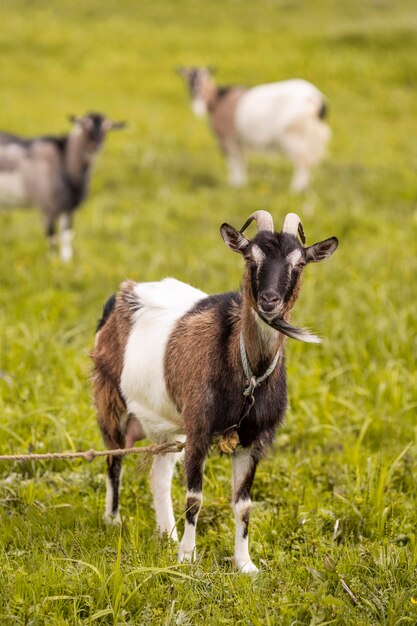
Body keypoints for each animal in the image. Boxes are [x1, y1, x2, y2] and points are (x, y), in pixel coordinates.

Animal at [0, 111, 125, 258]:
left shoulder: (68, 208)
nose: (97, 145)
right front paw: (53, 261)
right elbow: (52, 239)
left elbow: (67, 236)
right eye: (85, 125)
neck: (63, 161)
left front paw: (66, 261)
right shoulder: (47, 206)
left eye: (108, 128)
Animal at [92, 208, 338, 572]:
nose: (269, 301)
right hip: (110, 399)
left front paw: (245, 564)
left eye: (299, 263)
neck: (248, 376)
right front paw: (187, 557)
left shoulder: (253, 442)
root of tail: (124, 292)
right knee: (114, 459)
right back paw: (113, 520)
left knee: (159, 475)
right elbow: (194, 498)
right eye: (250, 257)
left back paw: (166, 533)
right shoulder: (199, 428)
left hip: (168, 424)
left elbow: (244, 504)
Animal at [177, 66, 330, 191]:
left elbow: (232, 161)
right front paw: (241, 183)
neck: (217, 101)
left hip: (296, 134)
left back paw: (296, 188)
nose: (195, 91)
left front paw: (234, 184)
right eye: (188, 79)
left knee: (303, 162)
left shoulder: (226, 137)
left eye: (206, 77)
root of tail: (318, 99)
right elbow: (242, 160)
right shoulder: (241, 140)